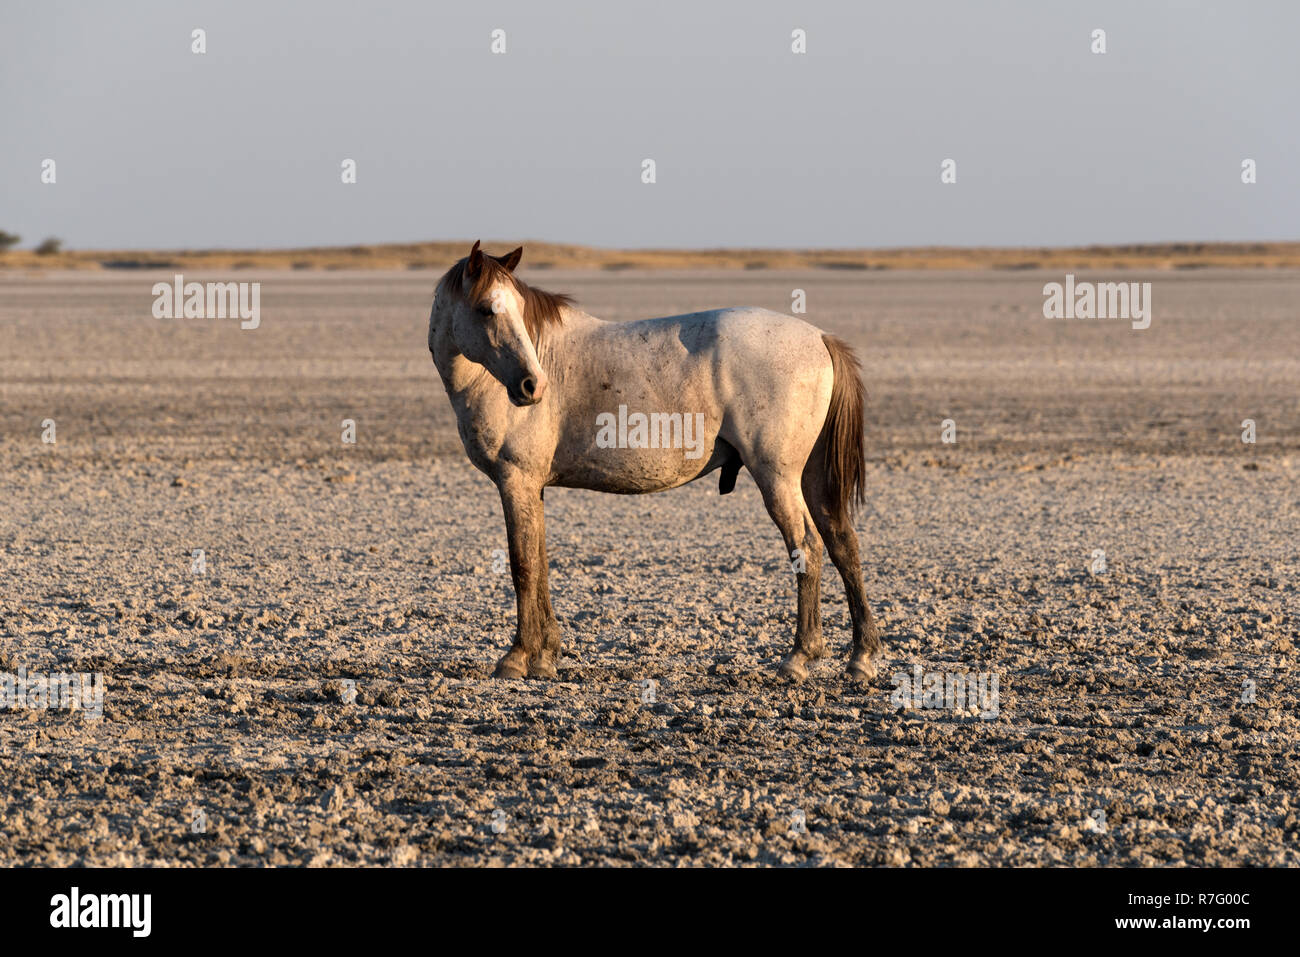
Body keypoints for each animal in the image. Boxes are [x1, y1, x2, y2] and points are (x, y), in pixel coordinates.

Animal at [427, 241, 883, 682]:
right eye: (487, 309)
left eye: (517, 310)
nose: (532, 386)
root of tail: (820, 337)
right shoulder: (532, 487)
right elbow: (539, 562)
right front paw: (546, 655)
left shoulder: (515, 480)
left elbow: (522, 566)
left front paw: (518, 656)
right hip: (811, 477)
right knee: (843, 544)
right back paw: (861, 657)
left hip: (778, 478)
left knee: (807, 546)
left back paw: (799, 656)